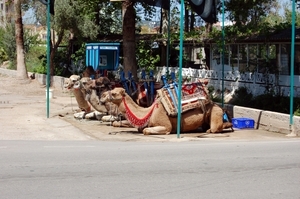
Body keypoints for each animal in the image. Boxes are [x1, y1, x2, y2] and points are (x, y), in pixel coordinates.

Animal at [99, 87, 233, 135]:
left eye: (114, 93)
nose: (102, 96)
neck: (148, 112)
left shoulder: (165, 125)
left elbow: (146, 131)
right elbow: (142, 129)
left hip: (215, 111)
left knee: (215, 128)